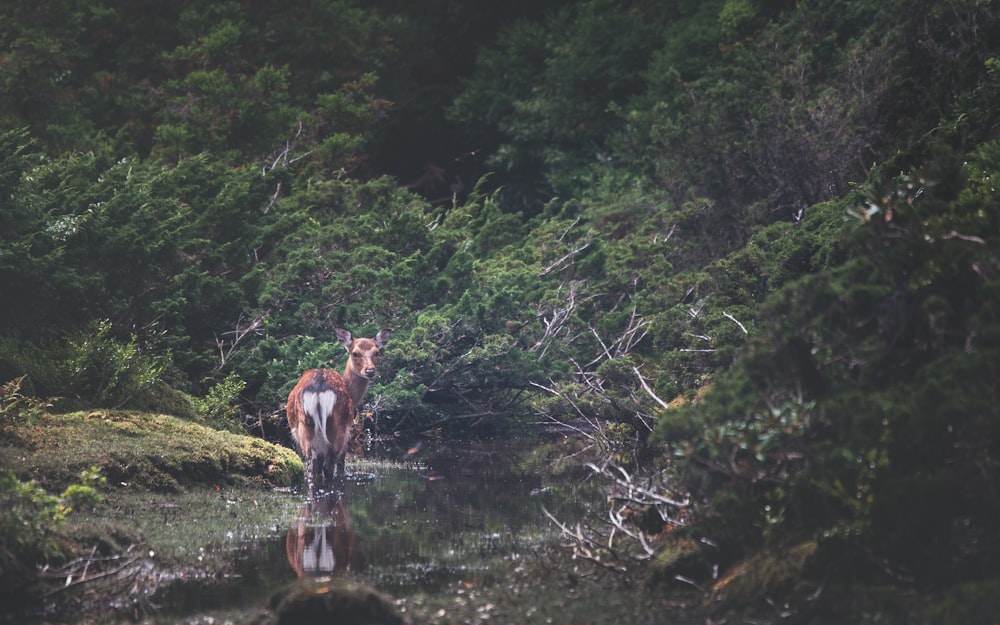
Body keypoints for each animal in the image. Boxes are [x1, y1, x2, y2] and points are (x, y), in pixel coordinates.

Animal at [286, 326, 390, 498]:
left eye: (377, 352)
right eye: (355, 353)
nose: (370, 371)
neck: (352, 394)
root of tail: (318, 389)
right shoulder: (348, 431)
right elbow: (341, 465)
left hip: (305, 427)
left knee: (312, 465)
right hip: (339, 427)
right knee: (330, 466)